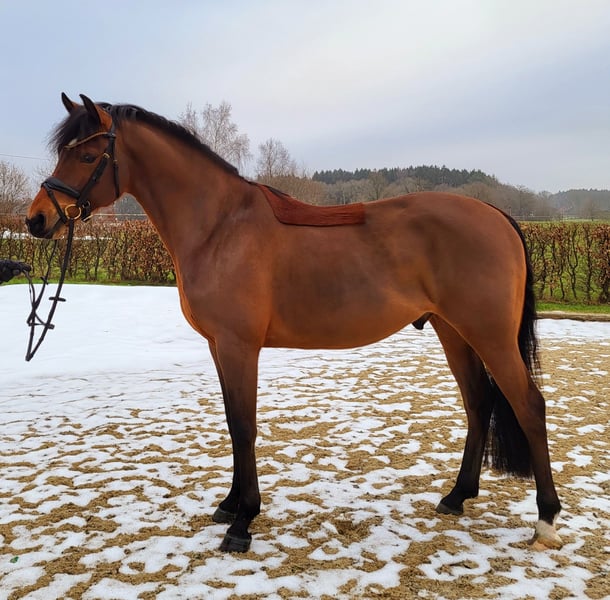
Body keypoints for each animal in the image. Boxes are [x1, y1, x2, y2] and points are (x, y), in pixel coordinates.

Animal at [26, 94, 562, 553]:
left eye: (87, 154)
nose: (36, 220)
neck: (219, 226)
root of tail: (495, 213)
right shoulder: (219, 346)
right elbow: (232, 422)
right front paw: (229, 505)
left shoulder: (239, 346)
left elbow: (244, 426)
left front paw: (243, 522)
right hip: (454, 332)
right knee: (478, 405)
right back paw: (456, 497)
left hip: (489, 336)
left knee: (529, 406)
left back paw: (546, 520)